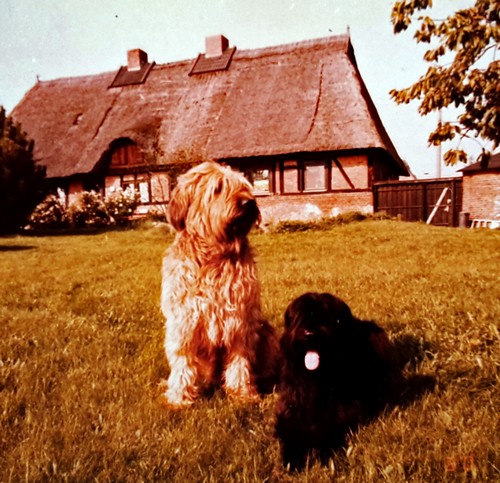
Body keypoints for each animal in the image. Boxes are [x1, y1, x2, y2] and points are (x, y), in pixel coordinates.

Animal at [161, 162, 280, 408]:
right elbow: (182, 361)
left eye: (243, 185)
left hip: (266, 332)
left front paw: (243, 394)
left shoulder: (239, 321)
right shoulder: (183, 321)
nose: (248, 203)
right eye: (218, 188)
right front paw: (179, 398)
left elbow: (239, 361)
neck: (213, 257)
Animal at [276, 294, 396, 470]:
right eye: (300, 318)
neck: (316, 377)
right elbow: (290, 426)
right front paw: (293, 457)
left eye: (324, 317)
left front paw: (322, 451)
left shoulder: (346, 407)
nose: (309, 334)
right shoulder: (290, 404)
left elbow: (331, 425)